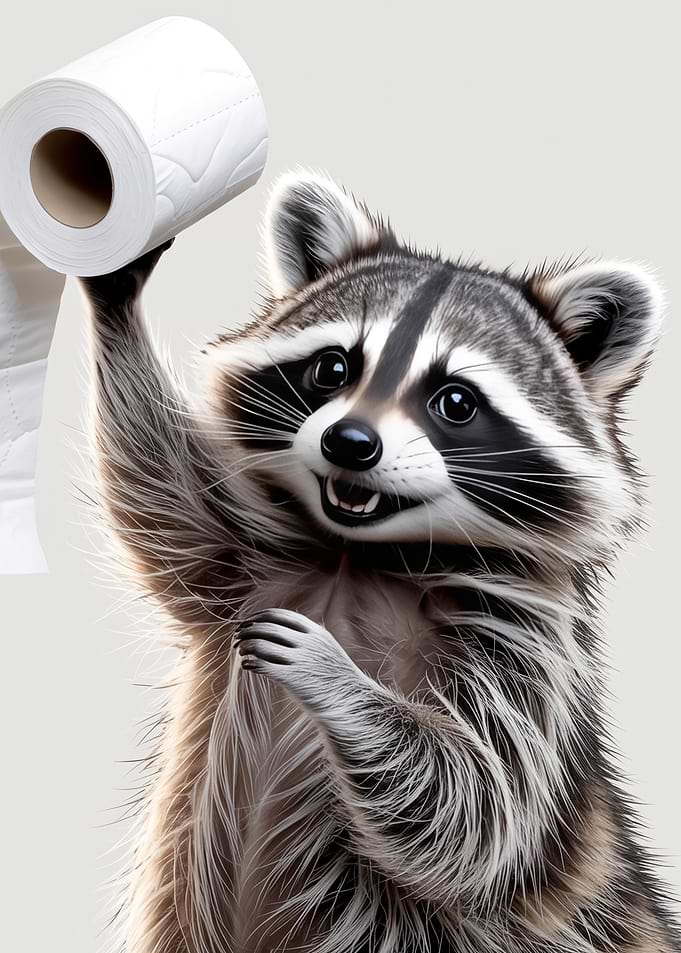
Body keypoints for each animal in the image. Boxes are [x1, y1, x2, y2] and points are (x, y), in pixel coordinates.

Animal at [81, 172, 680, 953]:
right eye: (333, 366)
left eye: (455, 401)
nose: (350, 442)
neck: (356, 556)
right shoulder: (249, 558)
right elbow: (160, 489)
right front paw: (115, 290)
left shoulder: (528, 648)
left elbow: (477, 804)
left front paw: (333, 676)